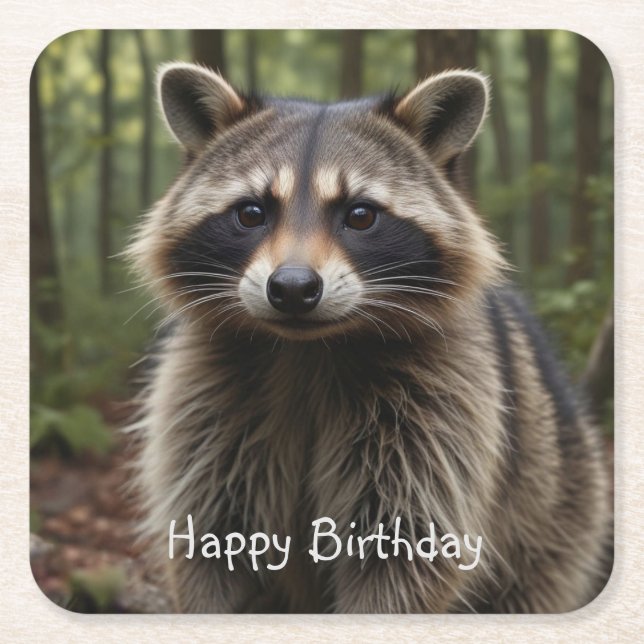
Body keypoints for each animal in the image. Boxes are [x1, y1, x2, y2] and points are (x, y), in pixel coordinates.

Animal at [127, 62, 612, 613]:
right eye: (251, 213)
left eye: (360, 214)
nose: (292, 289)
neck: (307, 350)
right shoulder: (205, 407)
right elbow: (211, 549)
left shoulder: (441, 413)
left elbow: (404, 558)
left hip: (557, 507)